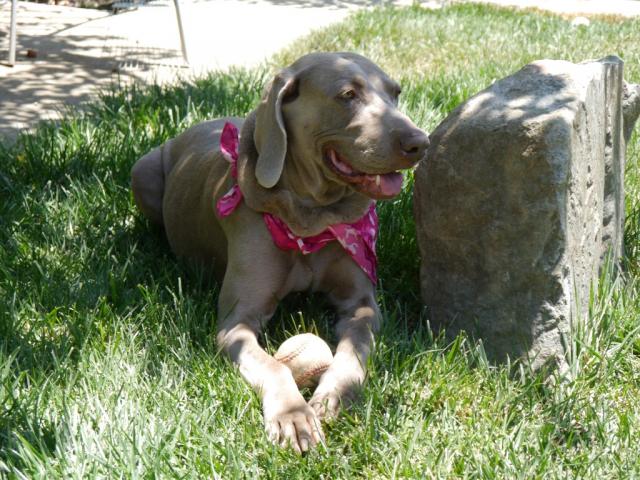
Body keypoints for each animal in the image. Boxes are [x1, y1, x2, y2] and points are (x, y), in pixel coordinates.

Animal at [132, 52, 428, 454]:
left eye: (395, 92)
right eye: (347, 95)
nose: (420, 142)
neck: (310, 220)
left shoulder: (362, 304)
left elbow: (354, 346)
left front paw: (333, 396)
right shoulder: (236, 321)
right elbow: (275, 365)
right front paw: (293, 415)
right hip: (141, 171)